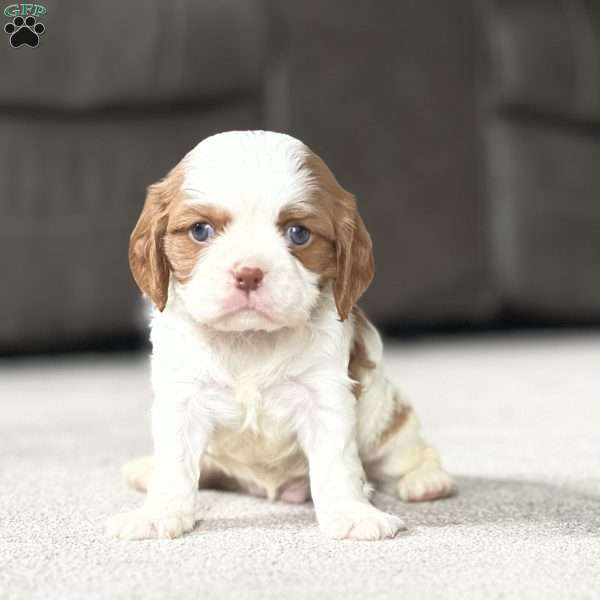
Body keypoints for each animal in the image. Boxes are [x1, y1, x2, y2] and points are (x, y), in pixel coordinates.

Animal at [108, 130, 454, 540]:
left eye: (298, 234)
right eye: (200, 231)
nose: (248, 273)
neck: (250, 339)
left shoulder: (324, 396)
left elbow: (336, 463)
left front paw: (352, 514)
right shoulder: (183, 398)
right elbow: (175, 464)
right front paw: (158, 513)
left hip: (388, 426)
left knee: (407, 453)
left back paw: (427, 481)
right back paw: (145, 470)